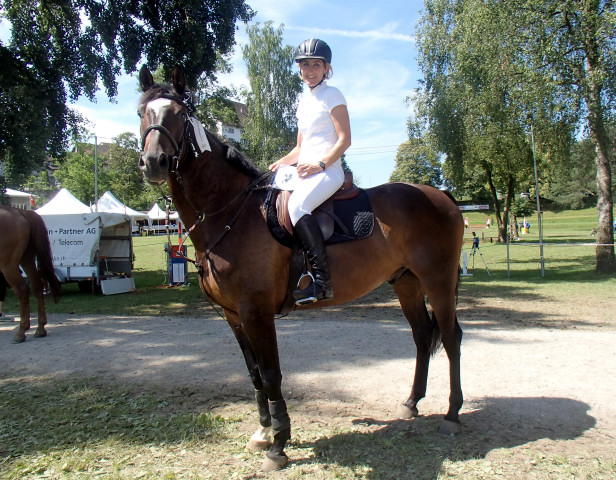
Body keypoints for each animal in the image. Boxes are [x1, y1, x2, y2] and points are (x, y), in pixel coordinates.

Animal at [0, 204, 60, 344]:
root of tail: (20, 212)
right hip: (26, 259)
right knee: (37, 285)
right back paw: (40, 329)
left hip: (8, 265)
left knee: (22, 289)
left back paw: (21, 332)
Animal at [137, 65, 464, 470]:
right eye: (142, 113)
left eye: (180, 116)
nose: (153, 162)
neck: (231, 213)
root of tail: (441, 195)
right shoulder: (233, 315)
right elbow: (254, 374)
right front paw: (263, 433)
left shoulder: (256, 312)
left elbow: (271, 374)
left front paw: (278, 444)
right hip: (407, 283)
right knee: (422, 336)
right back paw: (410, 403)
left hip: (438, 281)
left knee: (450, 338)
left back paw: (452, 415)